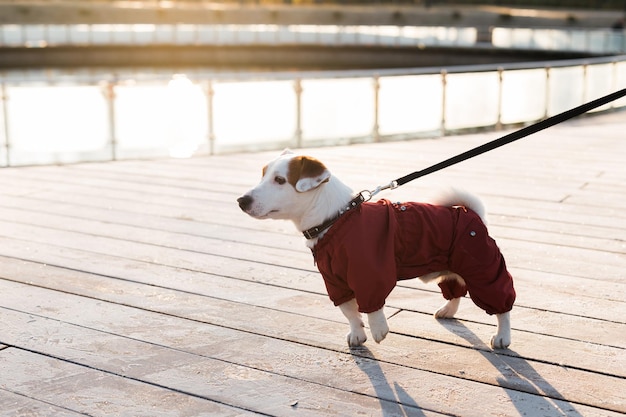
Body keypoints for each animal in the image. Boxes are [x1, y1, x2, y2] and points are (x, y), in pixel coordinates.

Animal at [236, 150, 516, 348]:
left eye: (280, 180)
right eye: (263, 174)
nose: (241, 200)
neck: (335, 220)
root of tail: (471, 213)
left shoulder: (370, 273)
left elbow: (371, 307)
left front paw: (378, 329)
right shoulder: (334, 281)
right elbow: (349, 311)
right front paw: (357, 334)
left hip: (483, 269)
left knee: (502, 306)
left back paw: (502, 336)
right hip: (454, 267)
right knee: (455, 289)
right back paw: (448, 310)